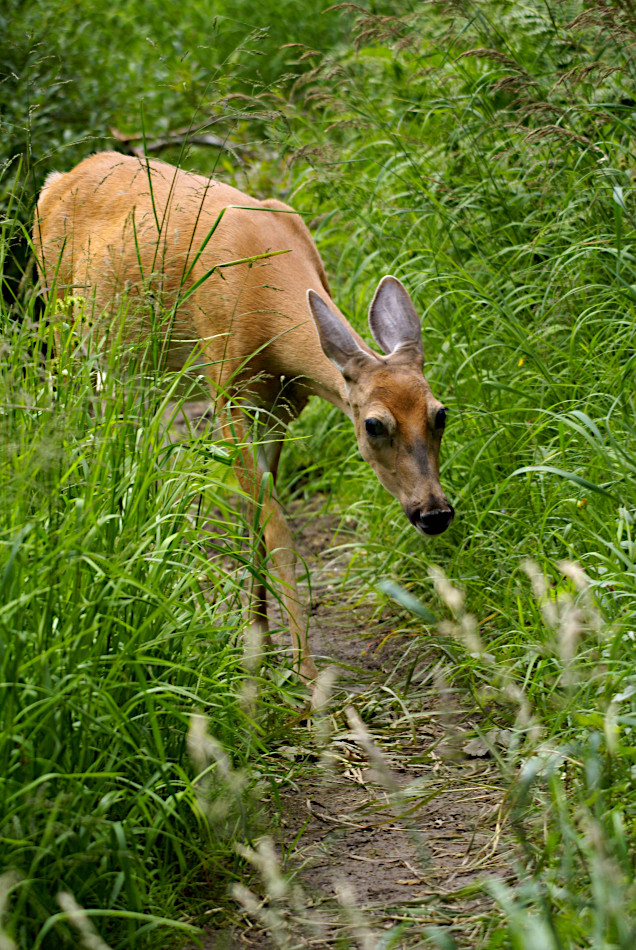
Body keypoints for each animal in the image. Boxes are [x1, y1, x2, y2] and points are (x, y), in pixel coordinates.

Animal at [33, 152, 452, 680]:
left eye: (441, 414)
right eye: (374, 424)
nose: (434, 512)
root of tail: (56, 180)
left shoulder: (281, 409)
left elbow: (254, 523)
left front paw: (261, 642)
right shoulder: (226, 392)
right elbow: (277, 530)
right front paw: (303, 669)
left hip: (136, 369)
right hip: (66, 326)